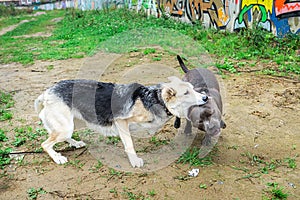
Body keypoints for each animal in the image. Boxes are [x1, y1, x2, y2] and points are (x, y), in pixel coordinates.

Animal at [34, 76, 209, 167]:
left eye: (193, 89)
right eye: (186, 93)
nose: (206, 97)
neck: (156, 99)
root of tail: (47, 92)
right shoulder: (121, 121)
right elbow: (129, 144)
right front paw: (134, 160)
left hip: (74, 123)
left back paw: (76, 144)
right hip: (66, 127)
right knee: (45, 144)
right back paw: (58, 157)